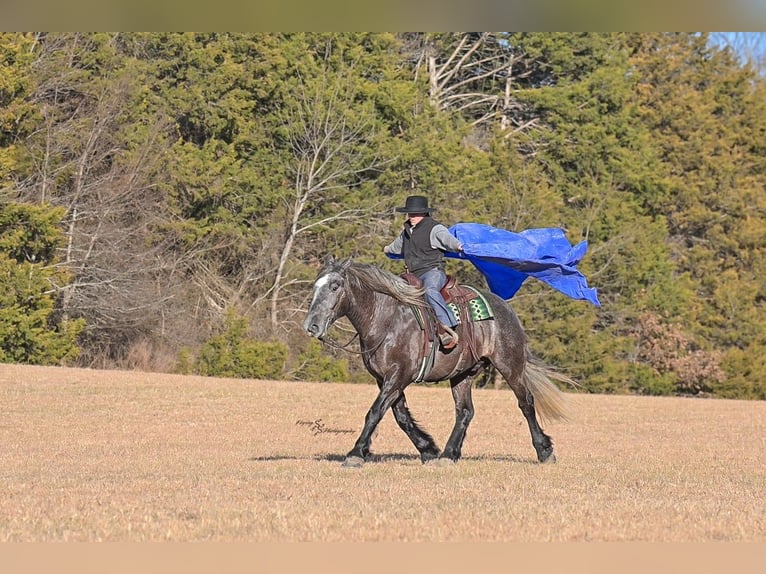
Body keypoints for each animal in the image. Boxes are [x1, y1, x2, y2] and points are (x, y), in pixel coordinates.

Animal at [302, 256, 575, 468]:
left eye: (335, 286)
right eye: (315, 286)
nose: (311, 326)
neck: (386, 319)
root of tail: (505, 309)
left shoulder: (398, 375)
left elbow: (375, 412)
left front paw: (356, 453)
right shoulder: (386, 379)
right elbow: (401, 416)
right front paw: (429, 449)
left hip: (510, 365)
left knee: (526, 403)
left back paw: (544, 451)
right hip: (463, 374)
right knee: (465, 411)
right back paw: (449, 454)